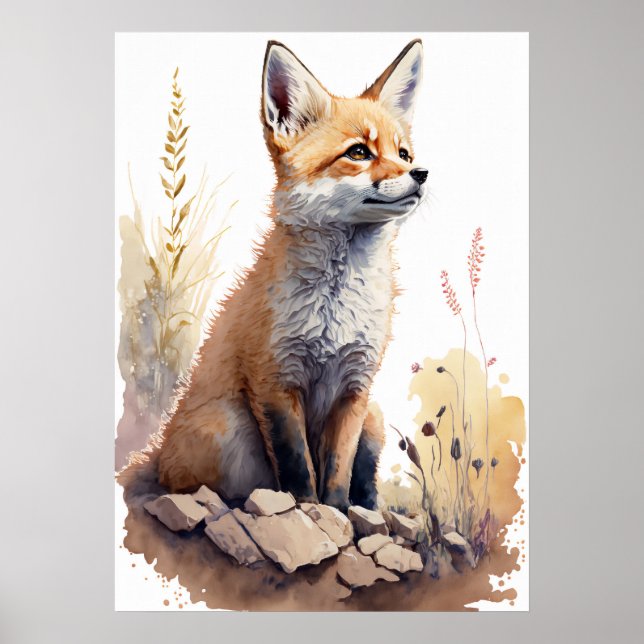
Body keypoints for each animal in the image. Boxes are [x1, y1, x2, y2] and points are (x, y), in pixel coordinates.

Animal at [121, 39, 428, 512]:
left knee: (364, 482)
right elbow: (297, 468)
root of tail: (156, 453)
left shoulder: (356, 388)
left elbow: (336, 471)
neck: (336, 308)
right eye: (358, 152)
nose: (421, 173)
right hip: (226, 427)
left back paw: (368, 509)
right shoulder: (275, 382)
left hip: (375, 418)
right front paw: (307, 510)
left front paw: (336, 512)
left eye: (404, 154)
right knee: (209, 489)